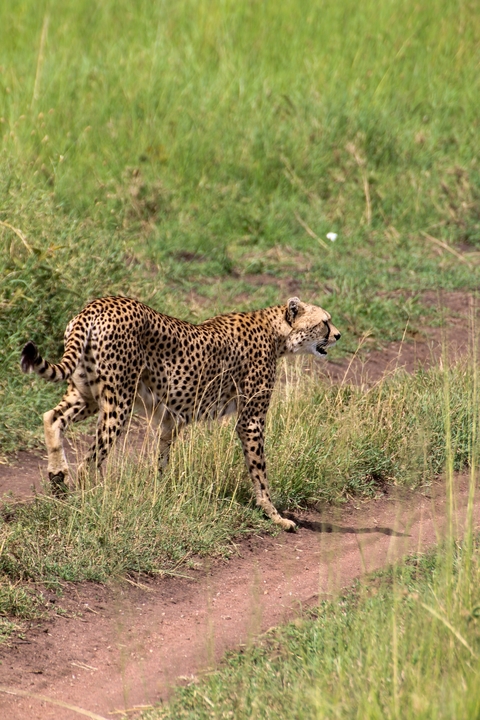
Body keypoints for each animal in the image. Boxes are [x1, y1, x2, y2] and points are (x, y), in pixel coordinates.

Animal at [21, 295, 340, 531]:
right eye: (324, 321)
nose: (338, 334)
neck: (278, 332)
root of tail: (98, 304)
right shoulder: (251, 421)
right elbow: (260, 473)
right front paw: (275, 516)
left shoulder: (171, 418)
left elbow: (162, 458)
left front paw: (161, 493)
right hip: (119, 400)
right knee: (90, 461)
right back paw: (93, 500)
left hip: (87, 394)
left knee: (51, 417)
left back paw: (58, 476)